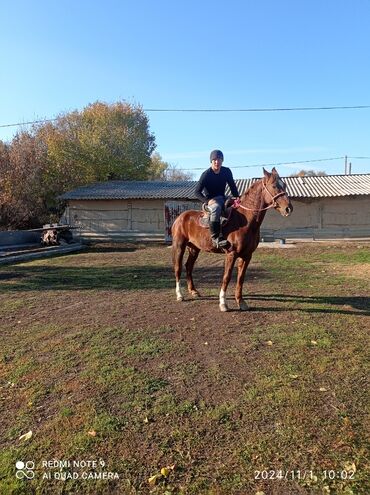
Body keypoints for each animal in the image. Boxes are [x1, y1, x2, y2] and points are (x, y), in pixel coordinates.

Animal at [172, 169, 294, 312]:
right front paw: (223, 303)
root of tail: (180, 217)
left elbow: (241, 278)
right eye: (274, 186)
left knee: (189, 266)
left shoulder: (247, 255)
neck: (245, 220)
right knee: (178, 268)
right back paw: (179, 295)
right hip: (180, 246)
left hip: (194, 248)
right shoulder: (231, 254)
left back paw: (193, 291)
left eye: (284, 185)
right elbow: (227, 277)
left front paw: (241, 302)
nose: (288, 208)